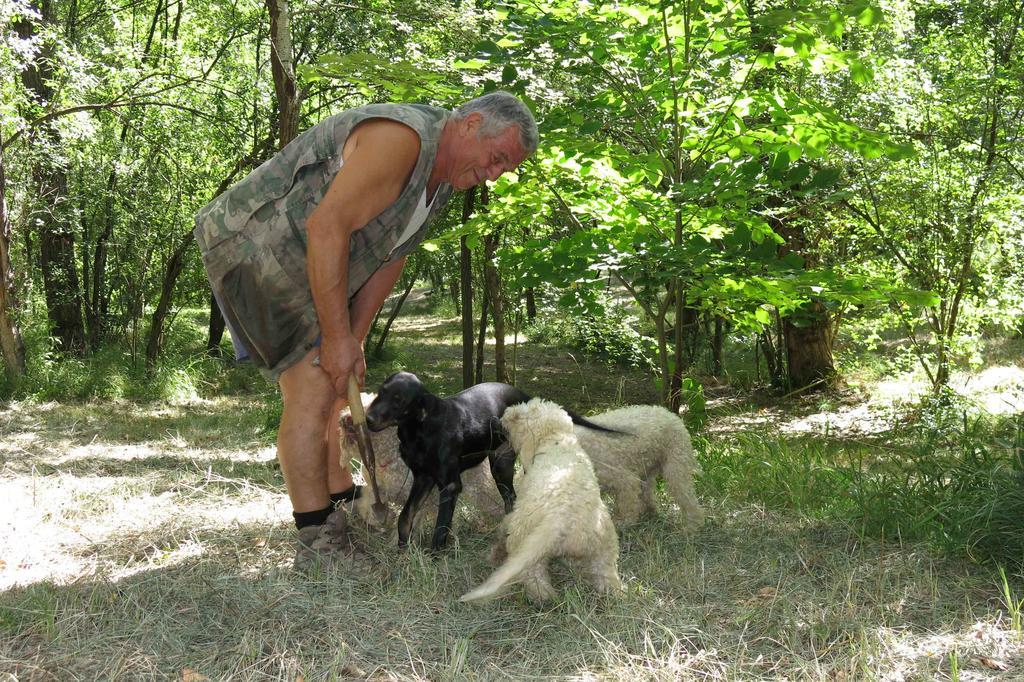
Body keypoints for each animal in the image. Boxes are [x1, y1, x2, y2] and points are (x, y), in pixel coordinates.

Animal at [368, 368, 622, 548]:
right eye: (381, 391)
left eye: (399, 400)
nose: (368, 419)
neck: (418, 429)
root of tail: (523, 396)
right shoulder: (423, 478)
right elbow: (405, 517)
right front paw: (402, 550)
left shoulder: (450, 485)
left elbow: (440, 529)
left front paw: (434, 558)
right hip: (501, 466)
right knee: (511, 500)